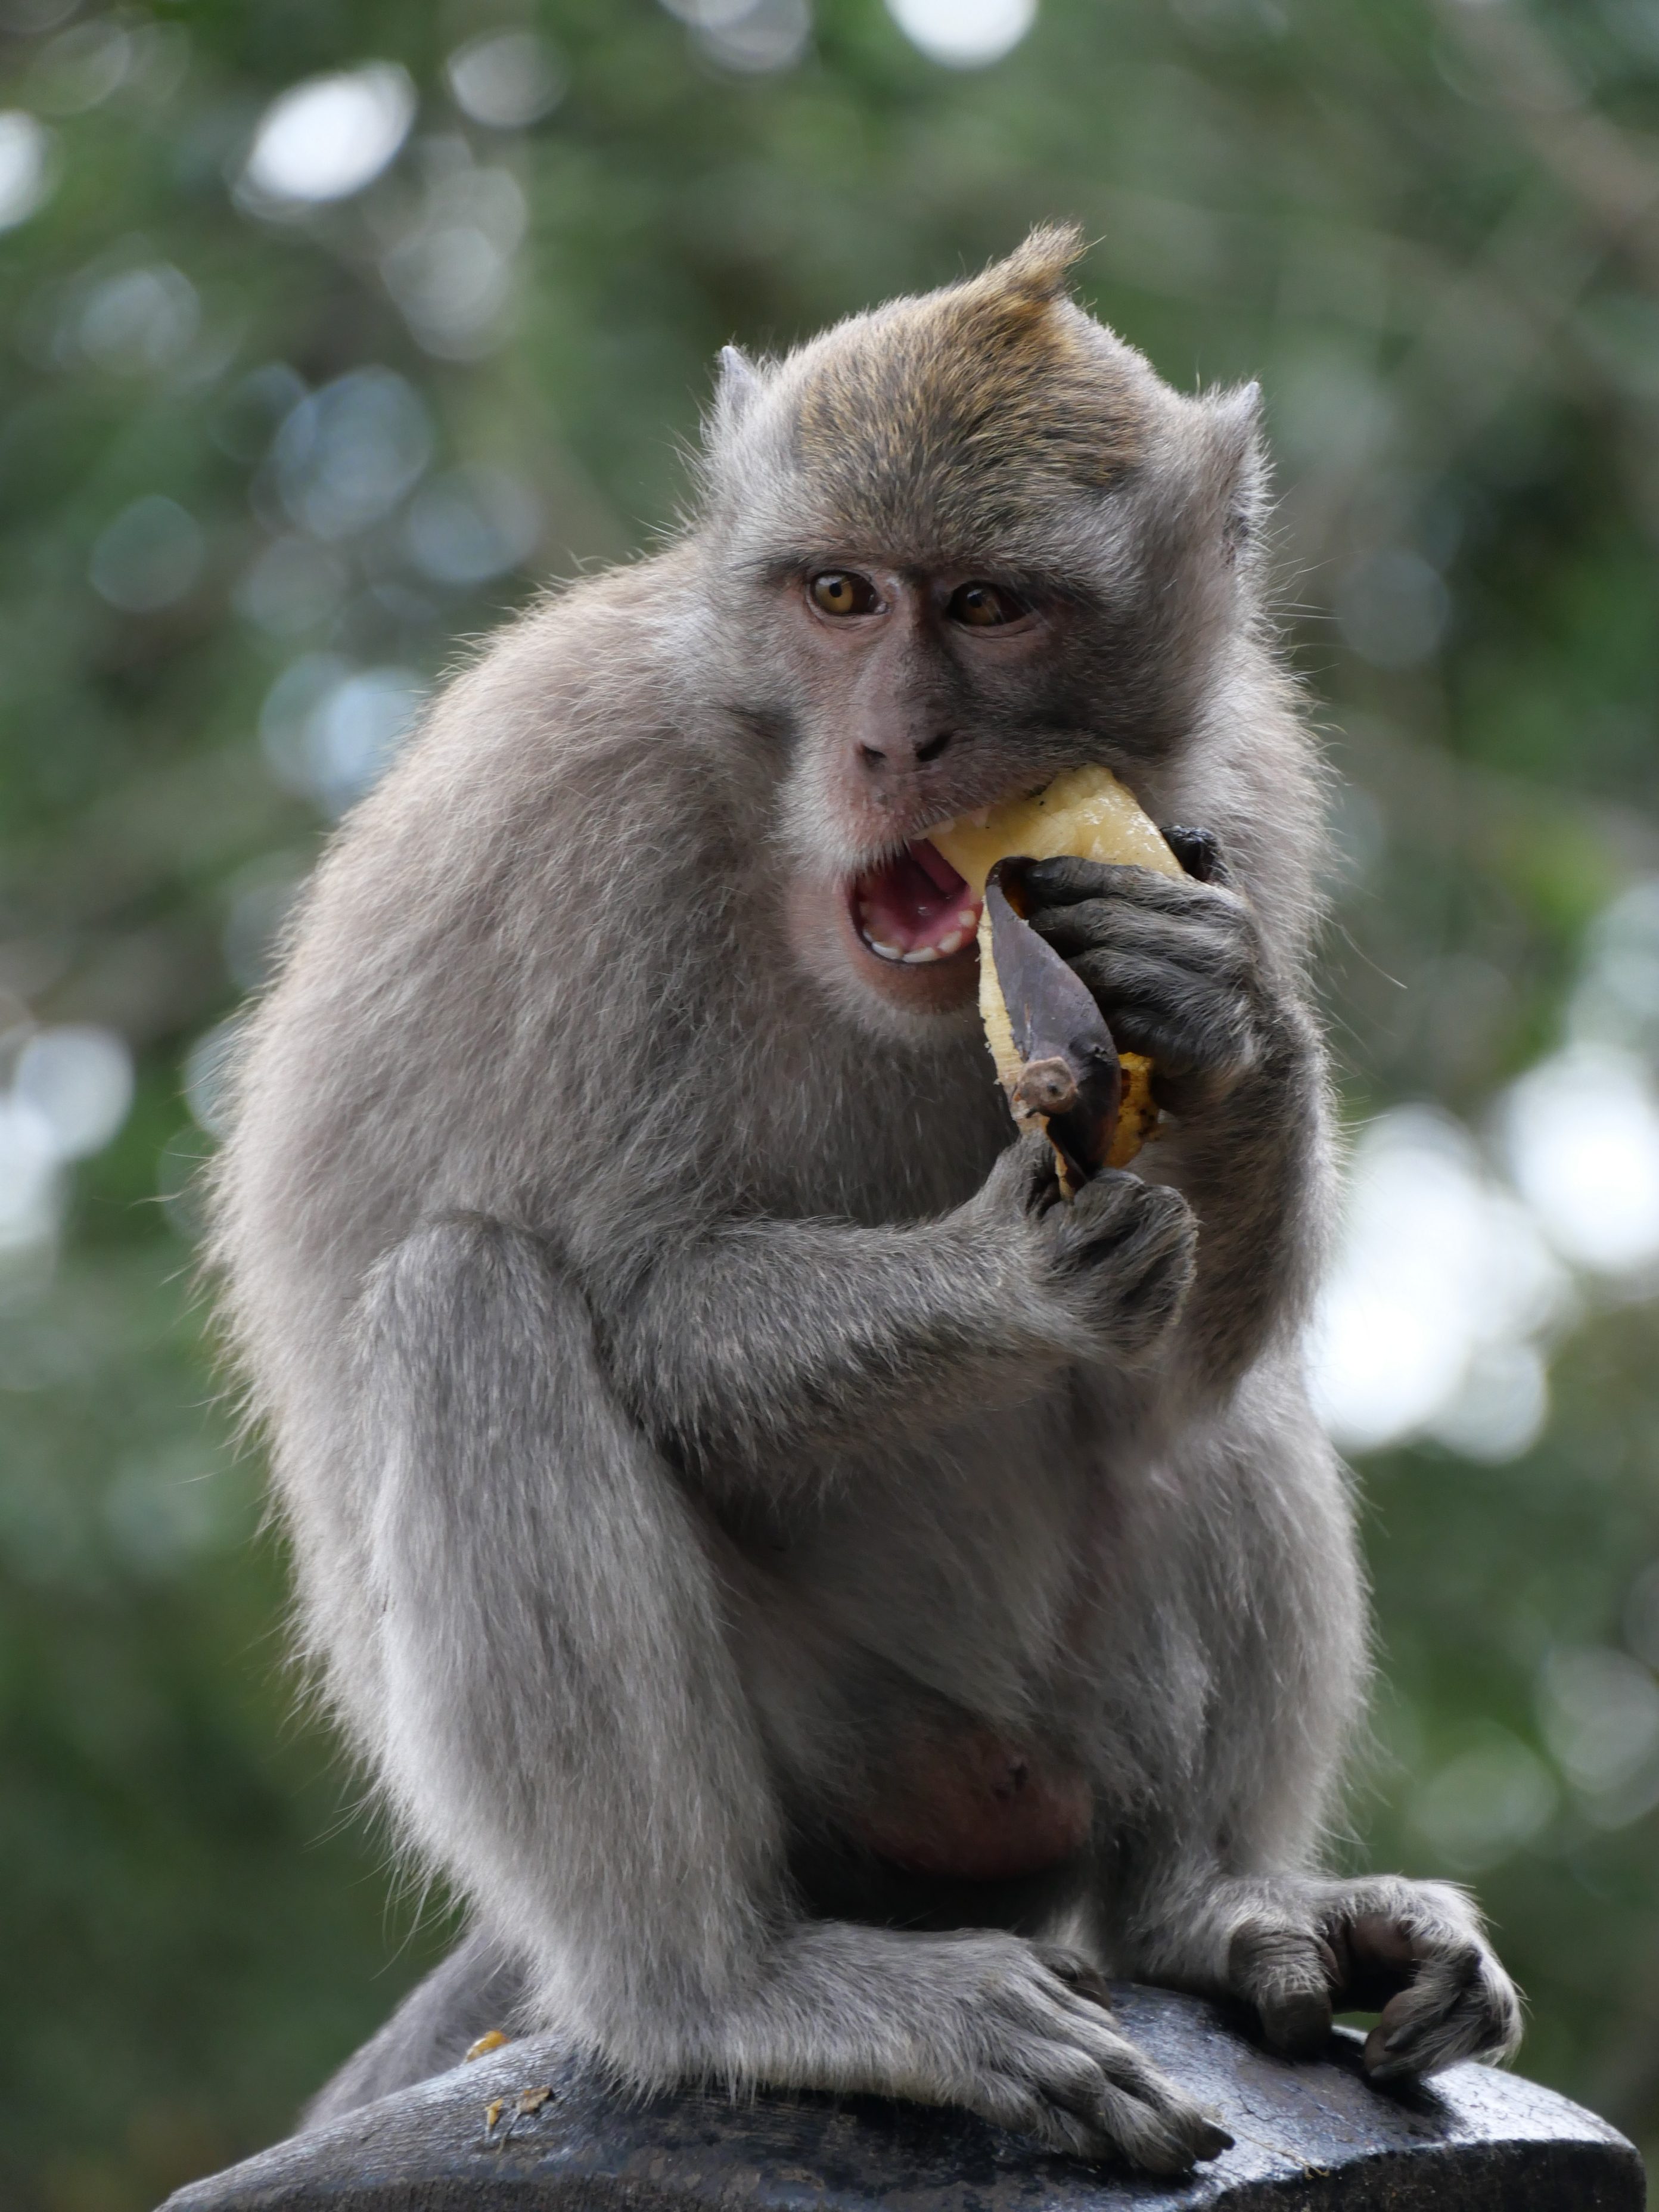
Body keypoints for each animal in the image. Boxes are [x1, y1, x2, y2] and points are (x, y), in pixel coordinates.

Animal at [210, 225, 1520, 2175]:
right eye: (837, 595)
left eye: (986, 607)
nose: (897, 744)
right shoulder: (574, 819)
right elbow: (633, 1295)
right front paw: (1002, 1282)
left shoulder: (1243, 799)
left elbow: (1176, 1366)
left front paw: (1227, 1018)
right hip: (840, 1758)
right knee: (466, 1301)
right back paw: (726, 1988)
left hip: (1045, 1757)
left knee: (1215, 1410)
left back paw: (1207, 1904)